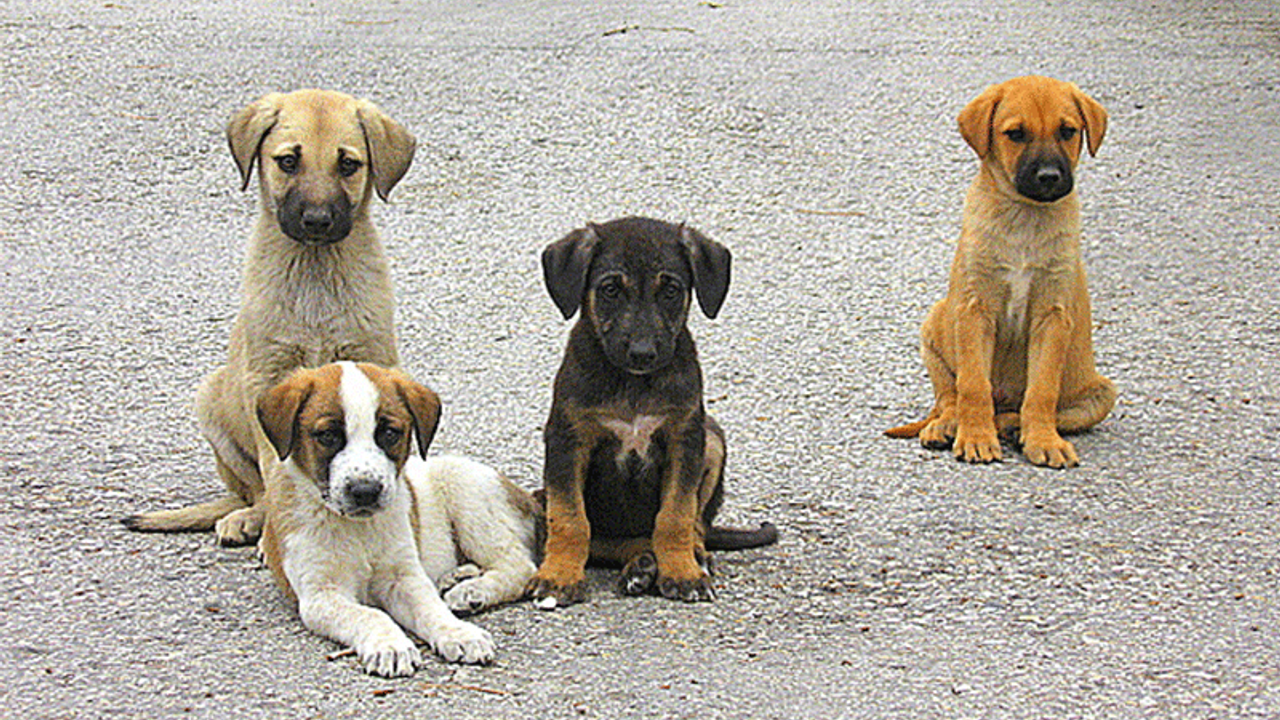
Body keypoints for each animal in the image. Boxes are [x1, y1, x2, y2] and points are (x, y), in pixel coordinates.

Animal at [123, 89, 414, 540]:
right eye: (288, 161)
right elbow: (276, 467)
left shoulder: (372, 358)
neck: (315, 270)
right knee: (254, 491)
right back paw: (248, 517)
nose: (317, 221)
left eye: (348, 164)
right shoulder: (267, 377)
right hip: (211, 399)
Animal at [254, 361, 540, 676]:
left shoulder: (403, 578)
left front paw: (459, 633)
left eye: (390, 433)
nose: (365, 491)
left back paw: (473, 591)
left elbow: (431, 609)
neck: (359, 529)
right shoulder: (322, 594)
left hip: (466, 490)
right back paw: (456, 577)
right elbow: (370, 615)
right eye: (328, 436)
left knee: (519, 566)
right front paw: (390, 645)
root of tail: (528, 497)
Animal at [522, 215, 778, 602]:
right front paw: (559, 577)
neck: (633, 383)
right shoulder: (567, 441)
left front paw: (683, 572)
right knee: (610, 542)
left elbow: (676, 516)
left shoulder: (685, 439)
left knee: (695, 528)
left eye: (671, 290)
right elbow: (570, 519)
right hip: (541, 500)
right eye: (610, 289)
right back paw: (641, 567)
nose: (642, 354)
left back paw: (681, 561)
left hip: (712, 437)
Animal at [885, 74, 1116, 466]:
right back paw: (946, 427)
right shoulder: (974, 309)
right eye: (1015, 134)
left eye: (1068, 131)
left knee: (1017, 411)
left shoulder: (1052, 316)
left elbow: (1041, 390)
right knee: (949, 398)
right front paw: (975, 438)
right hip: (935, 325)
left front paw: (1043, 441)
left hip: (1102, 392)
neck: (1024, 218)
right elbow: (973, 385)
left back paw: (1013, 428)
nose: (1049, 177)